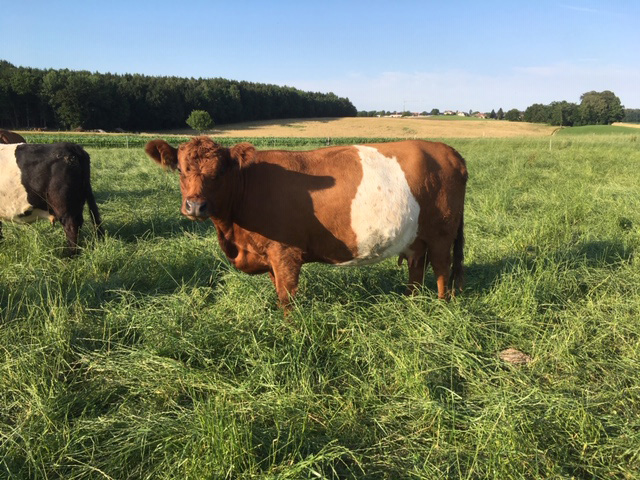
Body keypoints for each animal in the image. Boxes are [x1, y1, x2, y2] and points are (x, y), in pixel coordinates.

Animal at [148, 137, 468, 310]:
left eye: (220, 171)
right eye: (181, 170)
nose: (195, 206)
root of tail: (447, 150)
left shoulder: (285, 253)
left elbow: (286, 296)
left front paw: (288, 331)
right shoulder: (270, 256)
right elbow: (277, 289)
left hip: (441, 234)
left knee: (441, 270)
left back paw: (439, 308)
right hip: (415, 236)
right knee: (416, 269)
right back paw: (411, 305)